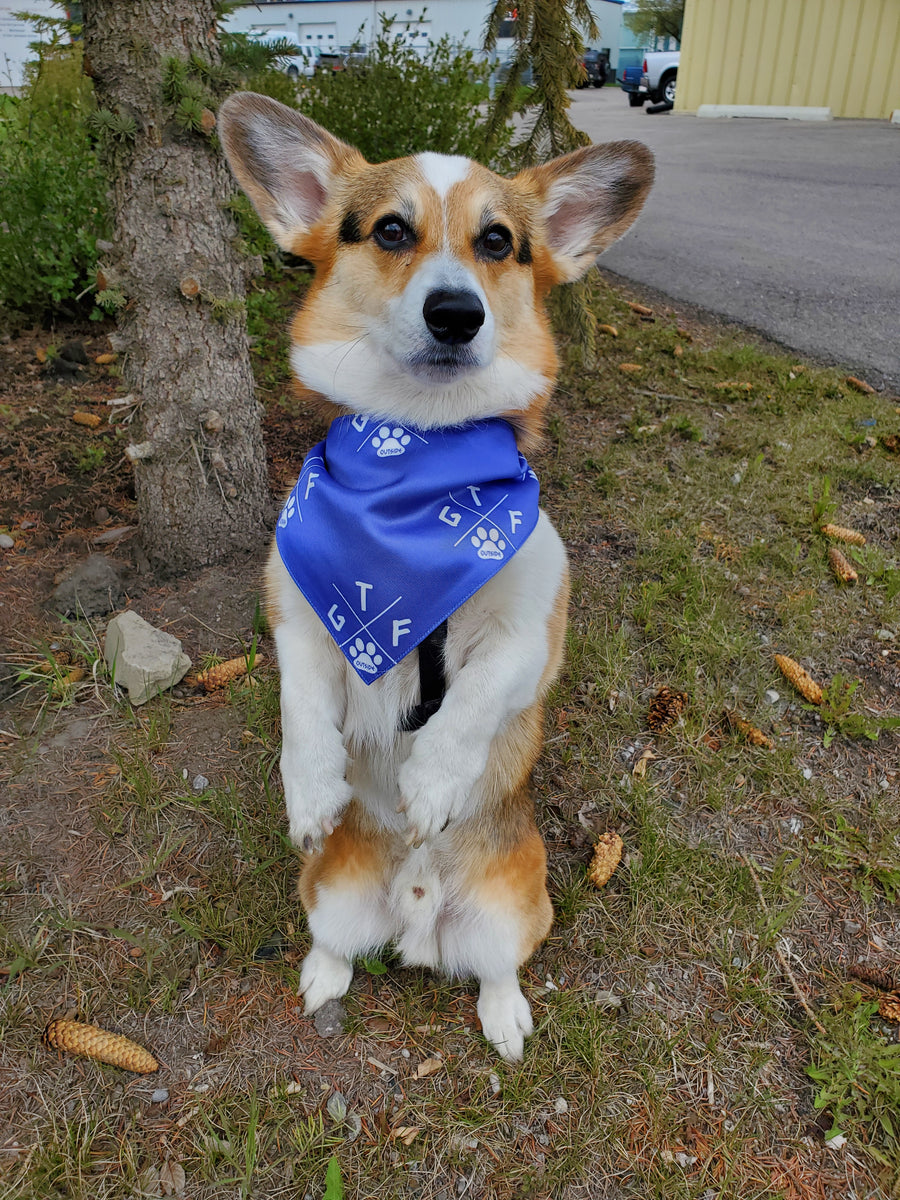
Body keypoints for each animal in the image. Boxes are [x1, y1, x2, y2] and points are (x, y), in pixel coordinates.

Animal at [220, 93, 652, 1060]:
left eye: (498, 242)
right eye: (390, 229)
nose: (457, 313)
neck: (415, 452)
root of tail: (418, 916)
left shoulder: (530, 636)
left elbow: (471, 704)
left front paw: (432, 784)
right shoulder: (298, 617)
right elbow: (300, 702)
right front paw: (311, 784)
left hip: (518, 909)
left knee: (495, 968)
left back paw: (505, 1017)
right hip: (328, 894)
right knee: (336, 945)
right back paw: (322, 977)